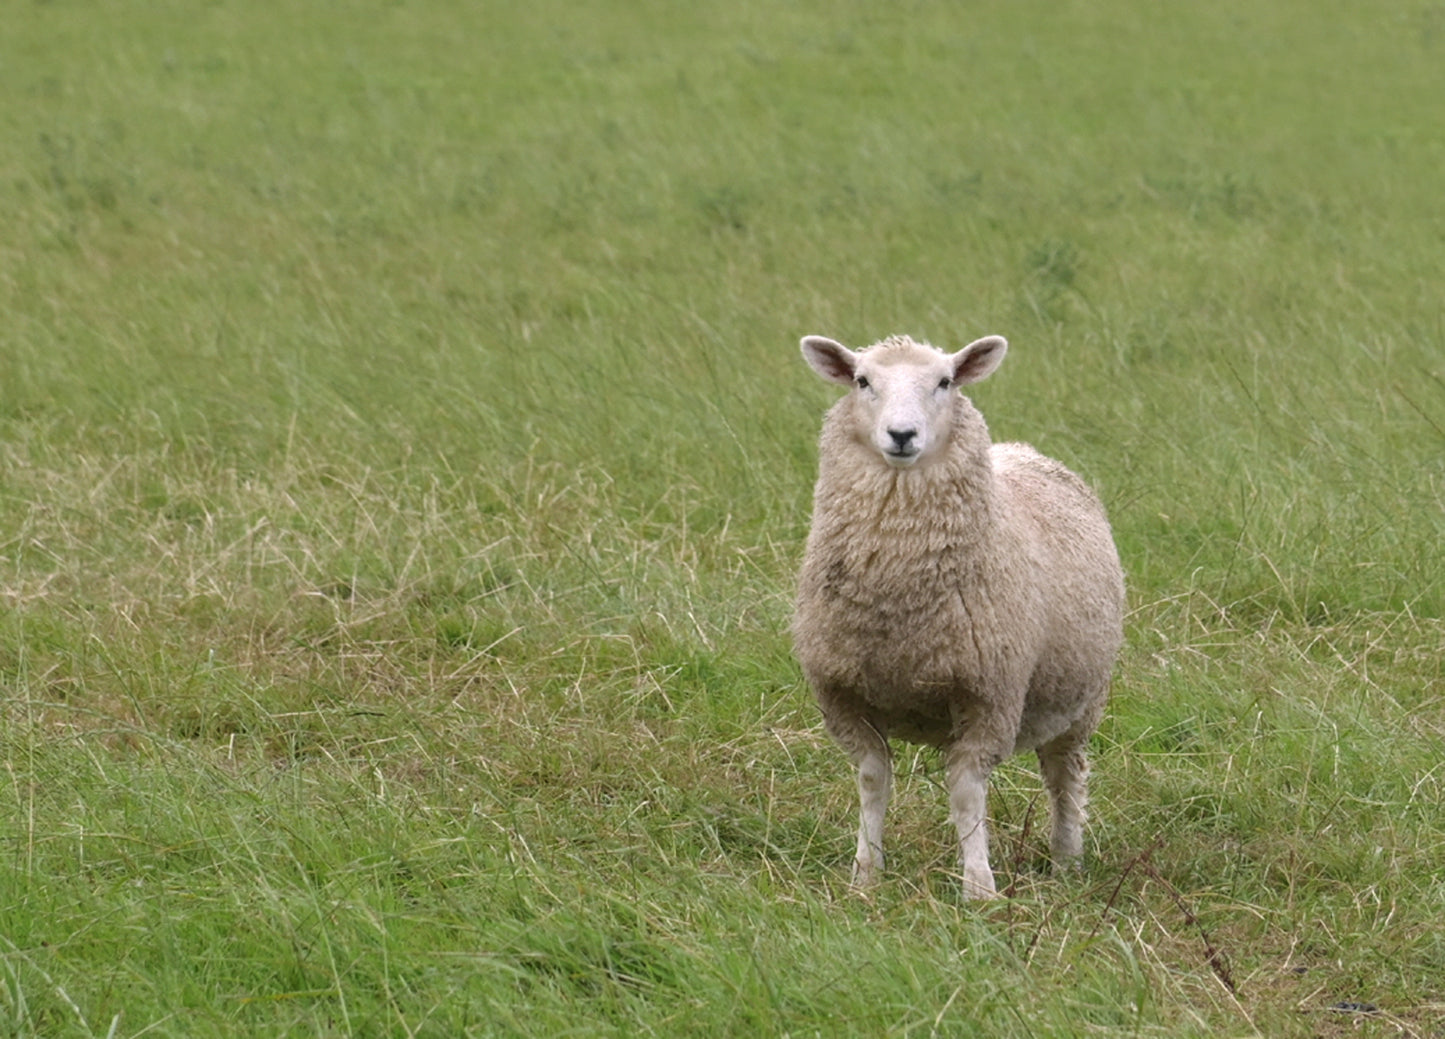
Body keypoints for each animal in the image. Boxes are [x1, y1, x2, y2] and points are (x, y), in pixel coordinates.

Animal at [791, 332, 1125, 898]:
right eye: (862, 381)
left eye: (944, 382)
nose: (902, 435)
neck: (897, 604)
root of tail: (1020, 450)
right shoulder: (843, 694)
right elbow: (872, 782)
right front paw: (866, 875)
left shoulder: (990, 694)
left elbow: (967, 792)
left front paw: (978, 887)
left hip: (1080, 700)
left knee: (1065, 777)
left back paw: (1066, 860)